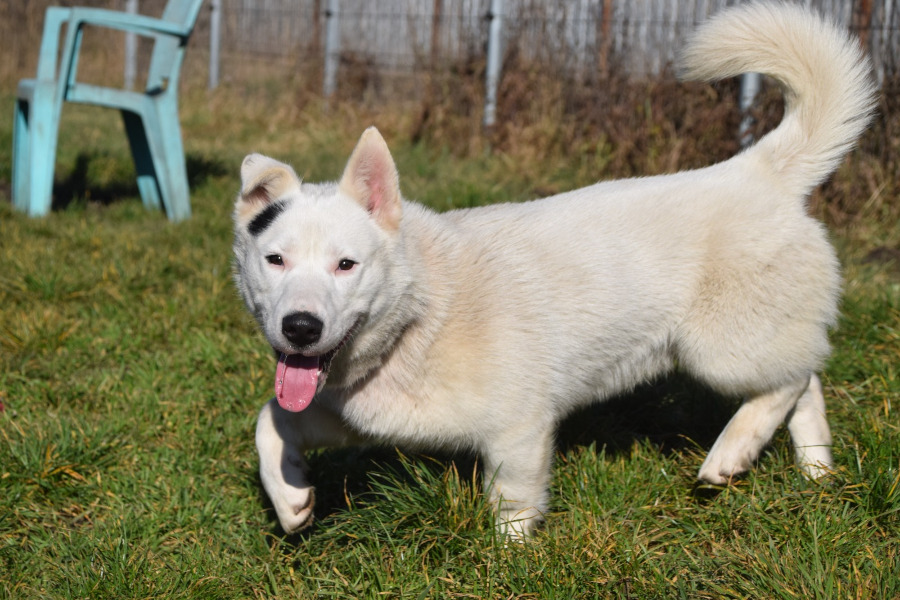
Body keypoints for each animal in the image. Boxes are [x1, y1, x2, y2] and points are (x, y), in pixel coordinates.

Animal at [232, 2, 876, 537]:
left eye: (346, 264)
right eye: (275, 259)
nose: (300, 329)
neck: (422, 315)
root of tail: (759, 170)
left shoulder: (519, 431)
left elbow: (511, 509)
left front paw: (509, 564)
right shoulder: (357, 419)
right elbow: (271, 419)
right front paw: (290, 497)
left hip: (722, 352)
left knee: (792, 379)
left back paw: (732, 452)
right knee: (806, 382)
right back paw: (816, 472)